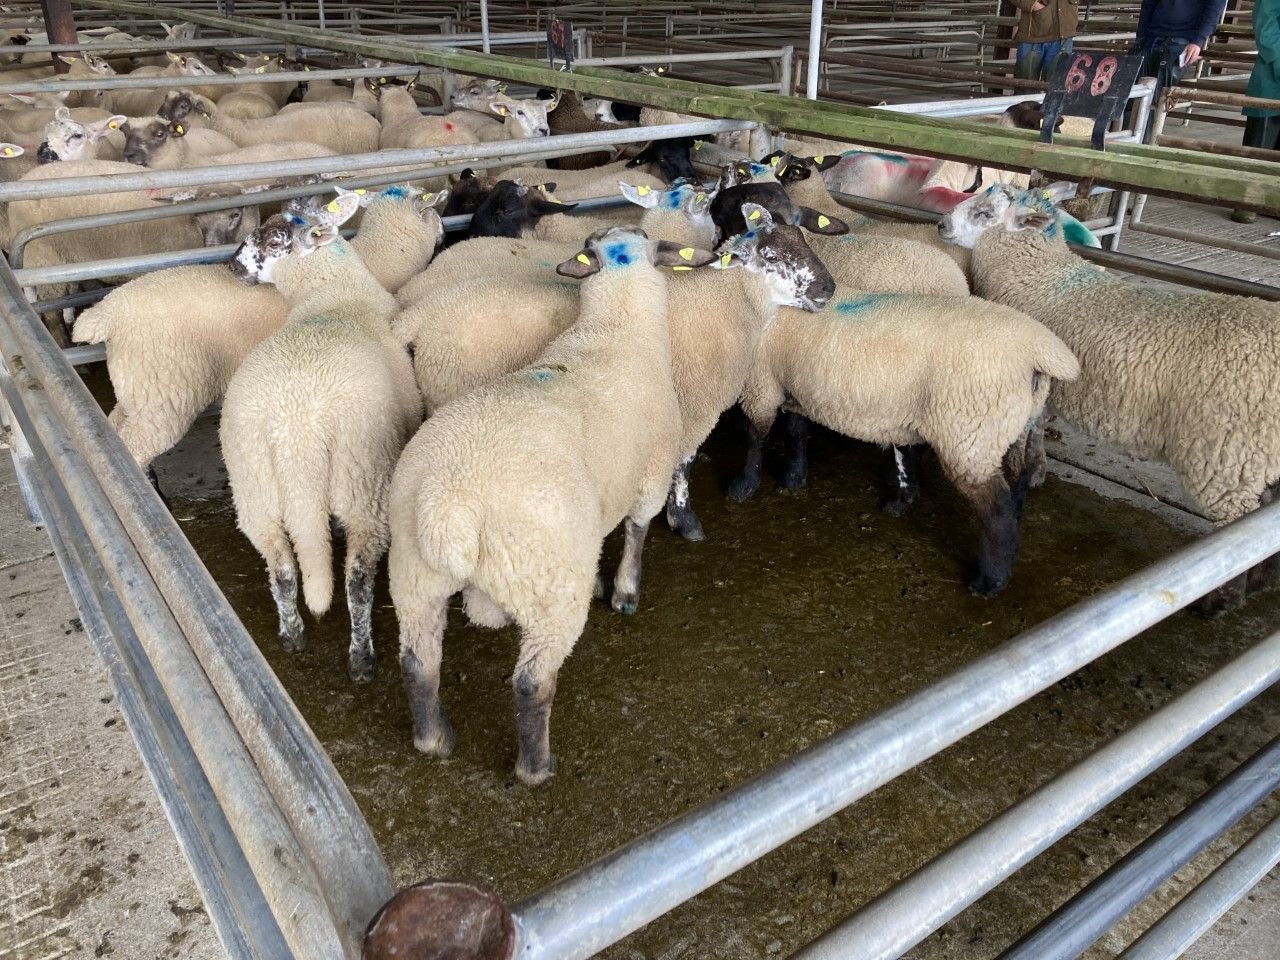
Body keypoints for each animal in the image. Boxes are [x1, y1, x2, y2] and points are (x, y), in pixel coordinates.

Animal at [70, 185, 447, 489]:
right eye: (434, 211)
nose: (444, 233)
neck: (373, 262)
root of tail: (106, 314)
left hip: (138, 388)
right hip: (164, 395)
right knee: (136, 447)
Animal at [221, 193, 423, 680]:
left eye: (274, 239)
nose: (231, 265)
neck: (330, 292)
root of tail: (297, 432)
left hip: (255, 489)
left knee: (282, 568)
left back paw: (292, 634)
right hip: (365, 481)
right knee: (357, 581)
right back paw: (361, 659)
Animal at [387, 226, 716, 783]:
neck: (615, 328)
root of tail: (450, 507)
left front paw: (605, 580)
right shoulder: (650, 476)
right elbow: (637, 532)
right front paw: (624, 591)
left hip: (414, 576)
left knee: (418, 663)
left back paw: (435, 739)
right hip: (549, 587)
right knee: (531, 681)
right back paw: (537, 767)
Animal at [939, 182, 1280, 612]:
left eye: (985, 213)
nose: (941, 224)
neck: (1038, 276)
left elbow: (1025, 433)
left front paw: (1021, 471)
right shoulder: (1048, 381)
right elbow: (1039, 430)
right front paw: (1038, 470)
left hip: (1225, 459)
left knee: (1237, 531)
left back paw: (1220, 602)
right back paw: (1262, 582)